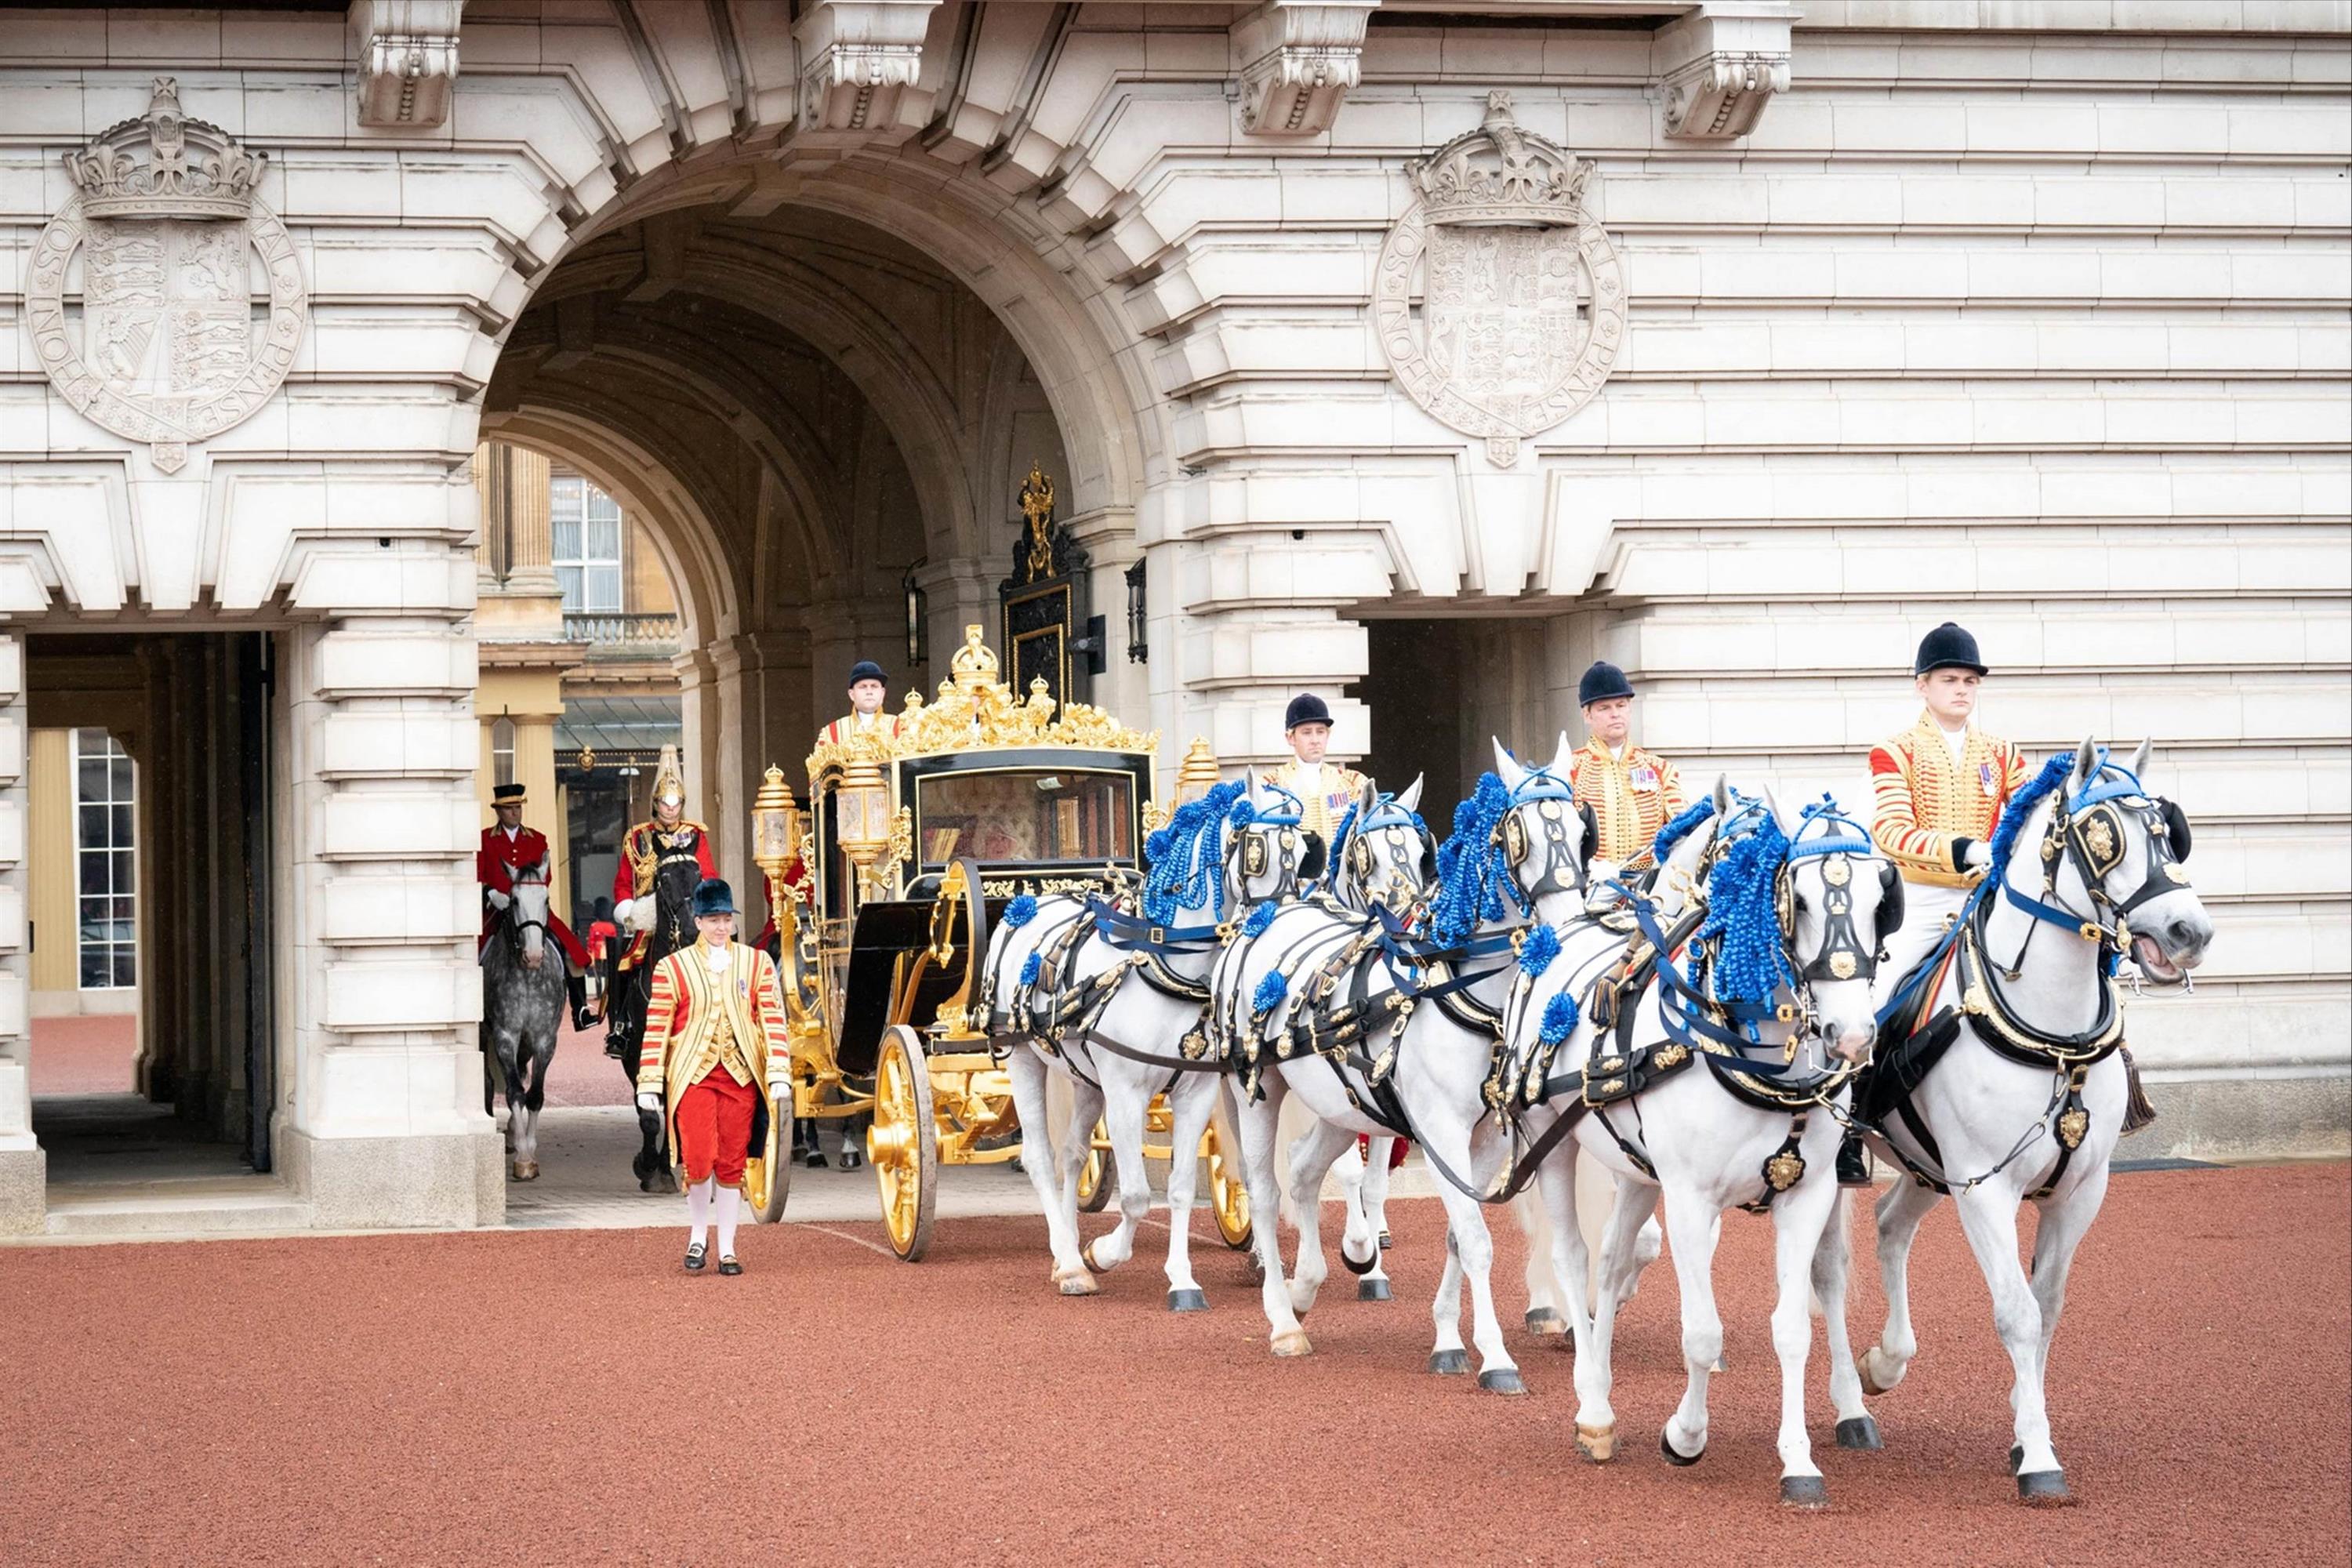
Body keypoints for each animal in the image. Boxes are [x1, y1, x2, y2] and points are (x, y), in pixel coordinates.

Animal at [602, 851, 701, 1194]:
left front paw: (663, 1167)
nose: (692, 930)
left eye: (699, 875)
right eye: (664, 880)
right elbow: (649, 1117)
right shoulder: (636, 1058)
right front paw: (646, 1166)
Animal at [1515, 780, 1900, 1504]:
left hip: (1635, 1171)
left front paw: (1798, 1461)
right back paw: (1592, 1405)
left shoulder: (1808, 1194)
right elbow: (1700, 1331)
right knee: (1575, 1259)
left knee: (1613, 1263)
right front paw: (1686, 1436)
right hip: (1553, 1145)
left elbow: (1792, 1328)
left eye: (1879, 898)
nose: (1853, 1035)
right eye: (1799, 899)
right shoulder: (1691, 1199)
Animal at [1835, 742, 2220, 1504]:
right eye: (2103, 836)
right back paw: (1850, 1407)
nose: (2190, 933)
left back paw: (1885, 1364)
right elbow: (2016, 1312)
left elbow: (2047, 1310)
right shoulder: (1987, 1190)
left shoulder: (2077, 1192)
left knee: (1890, 1228)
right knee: (1824, 1277)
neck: (2054, 1036)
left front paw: (2025, 1425)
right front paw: (2039, 1458)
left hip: (1929, 1168)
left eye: (2168, 829)